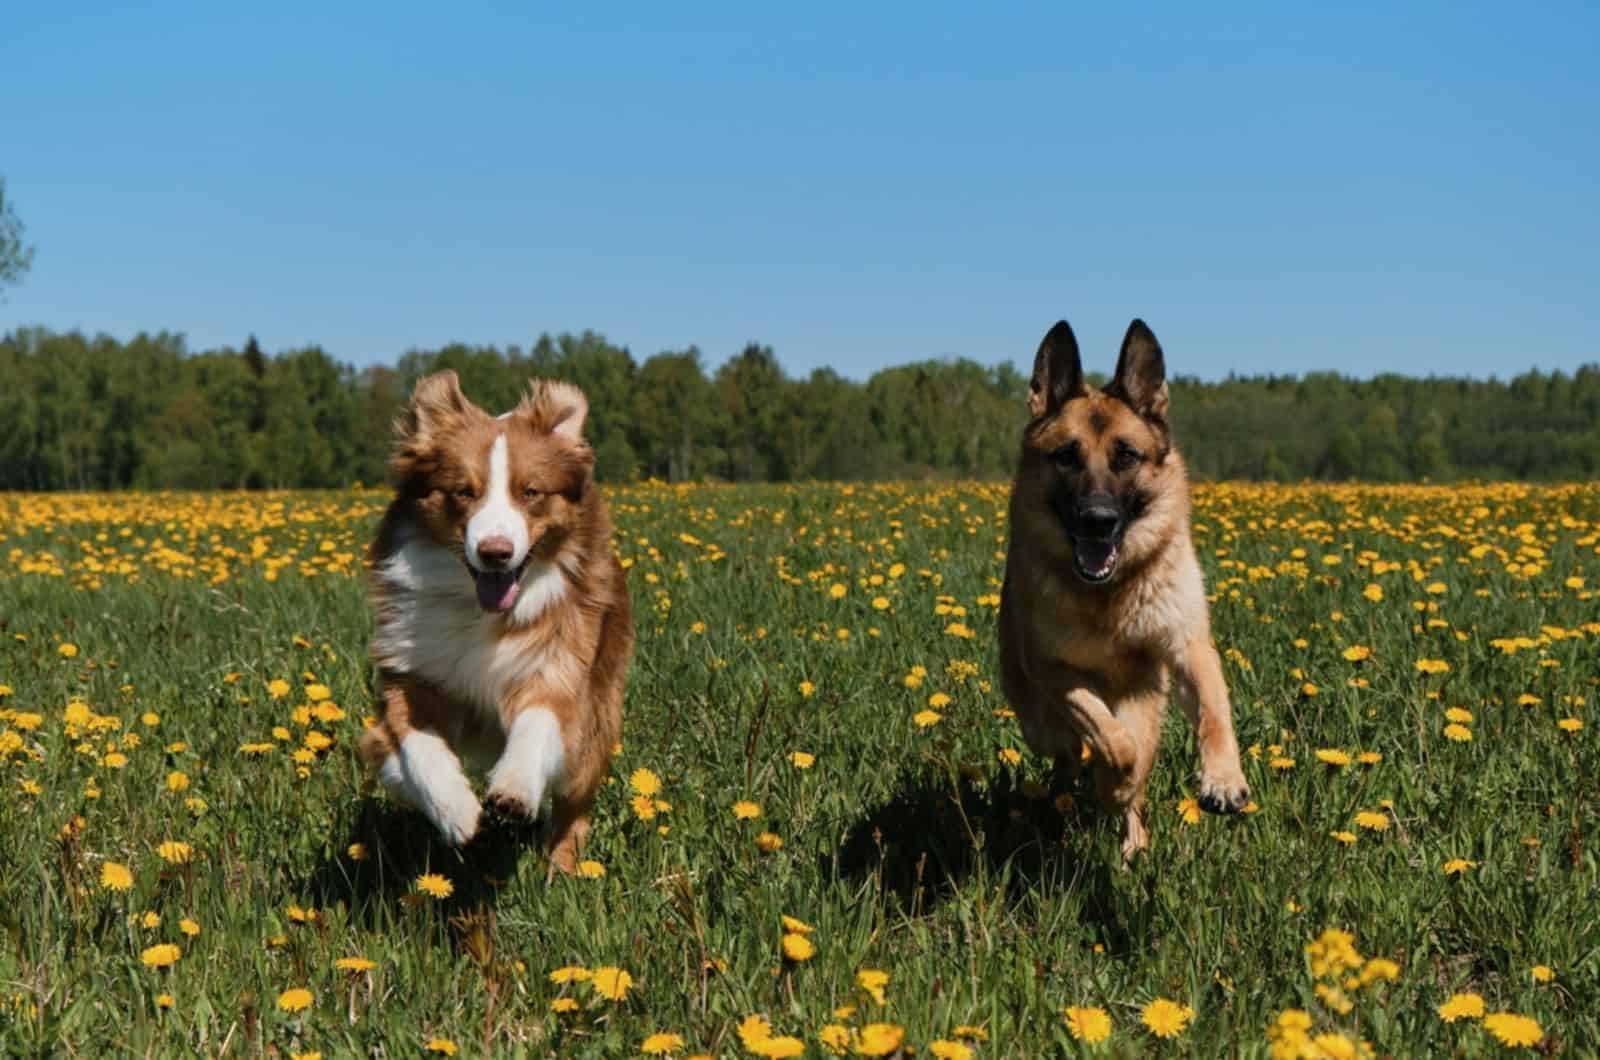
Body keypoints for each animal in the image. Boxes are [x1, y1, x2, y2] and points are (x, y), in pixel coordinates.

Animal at [361, 369, 630, 877]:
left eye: (531, 492)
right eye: (464, 491)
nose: (495, 552)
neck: (479, 614)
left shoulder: (561, 668)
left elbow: (538, 723)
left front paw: (515, 788)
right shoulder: (412, 676)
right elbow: (414, 747)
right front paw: (454, 809)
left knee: (575, 803)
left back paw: (562, 870)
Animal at [998, 317, 1248, 864]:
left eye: (1127, 456)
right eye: (1066, 456)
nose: (1098, 520)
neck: (1110, 597)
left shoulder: (1189, 648)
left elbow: (1214, 712)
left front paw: (1223, 780)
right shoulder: (1054, 671)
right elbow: (1107, 734)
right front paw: (1113, 777)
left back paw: (1133, 839)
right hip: (1039, 722)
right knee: (1070, 754)